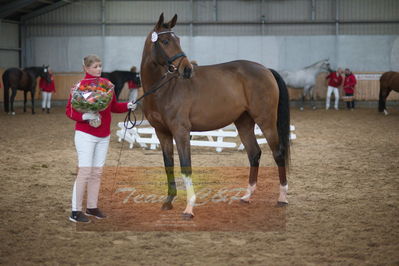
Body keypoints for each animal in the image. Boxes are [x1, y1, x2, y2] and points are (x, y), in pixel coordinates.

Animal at [141, 13, 290, 219]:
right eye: (164, 41)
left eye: (178, 40)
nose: (187, 69)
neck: (164, 89)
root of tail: (266, 69)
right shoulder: (162, 133)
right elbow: (168, 164)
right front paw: (168, 201)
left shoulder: (181, 132)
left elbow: (186, 166)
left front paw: (189, 208)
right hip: (244, 123)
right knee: (254, 153)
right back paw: (247, 196)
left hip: (266, 121)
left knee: (278, 153)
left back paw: (282, 197)